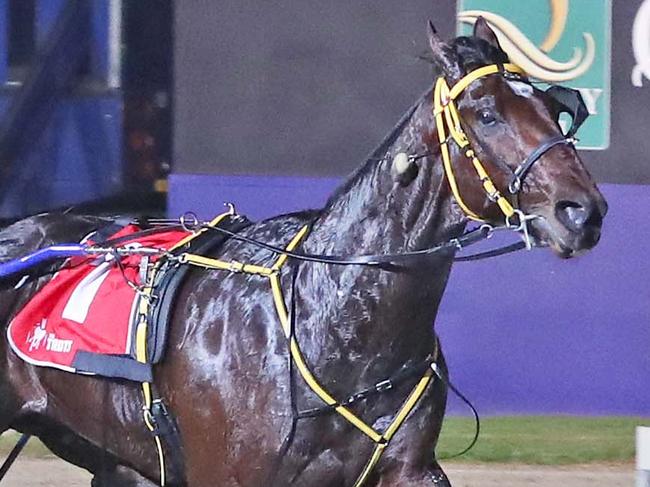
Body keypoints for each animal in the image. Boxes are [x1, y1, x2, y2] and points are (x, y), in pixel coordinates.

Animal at [1, 19, 608, 487]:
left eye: (555, 109)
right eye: (486, 113)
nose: (583, 211)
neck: (333, 320)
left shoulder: (409, 469)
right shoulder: (231, 473)